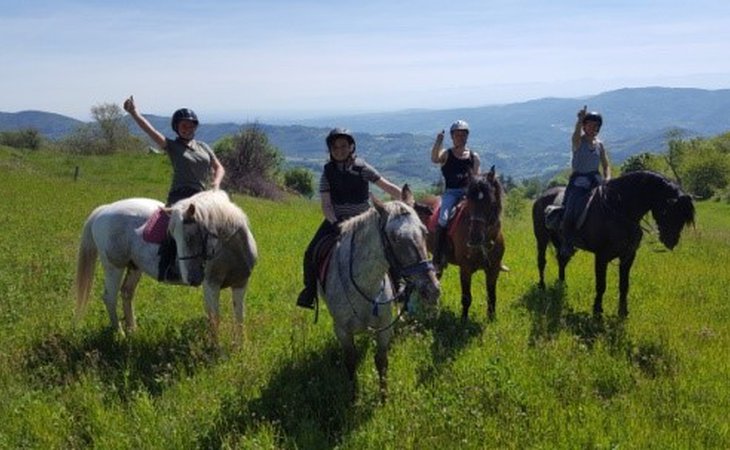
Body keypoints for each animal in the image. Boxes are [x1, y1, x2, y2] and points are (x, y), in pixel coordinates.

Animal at [75, 189, 258, 342]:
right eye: (173, 238)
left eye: (191, 237)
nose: (192, 279)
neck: (230, 248)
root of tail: (104, 210)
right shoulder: (211, 286)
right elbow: (215, 318)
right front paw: (216, 348)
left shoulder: (241, 283)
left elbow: (240, 316)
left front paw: (240, 346)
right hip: (114, 267)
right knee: (109, 298)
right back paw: (120, 334)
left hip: (134, 267)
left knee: (127, 293)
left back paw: (133, 330)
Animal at [322, 188, 438, 400]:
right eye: (395, 238)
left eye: (425, 232)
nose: (432, 290)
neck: (365, 284)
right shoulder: (342, 330)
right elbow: (350, 361)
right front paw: (354, 397)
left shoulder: (384, 327)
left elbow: (381, 361)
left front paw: (384, 398)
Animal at [418, 168, 504, 320]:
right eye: (469, 201)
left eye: (491, 201)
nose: (474, 238)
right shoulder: (465, 269)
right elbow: (466, 297)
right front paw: (463, 320)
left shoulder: (493, 270)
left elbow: (492, 296)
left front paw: (492, 319)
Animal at [532, 171, 692, 318]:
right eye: (668, 211)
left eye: (683, 217)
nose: (671, 241)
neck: (618, 210)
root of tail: (541, 197)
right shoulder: (601, 257)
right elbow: (601, 285)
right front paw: (597, 311)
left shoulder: (628, 256)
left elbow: (624, 285)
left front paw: (622, 312)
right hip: (541, 238)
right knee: (542, 261)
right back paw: (542, 286)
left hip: (560, 242)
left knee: (561, 260)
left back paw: (562, 284)